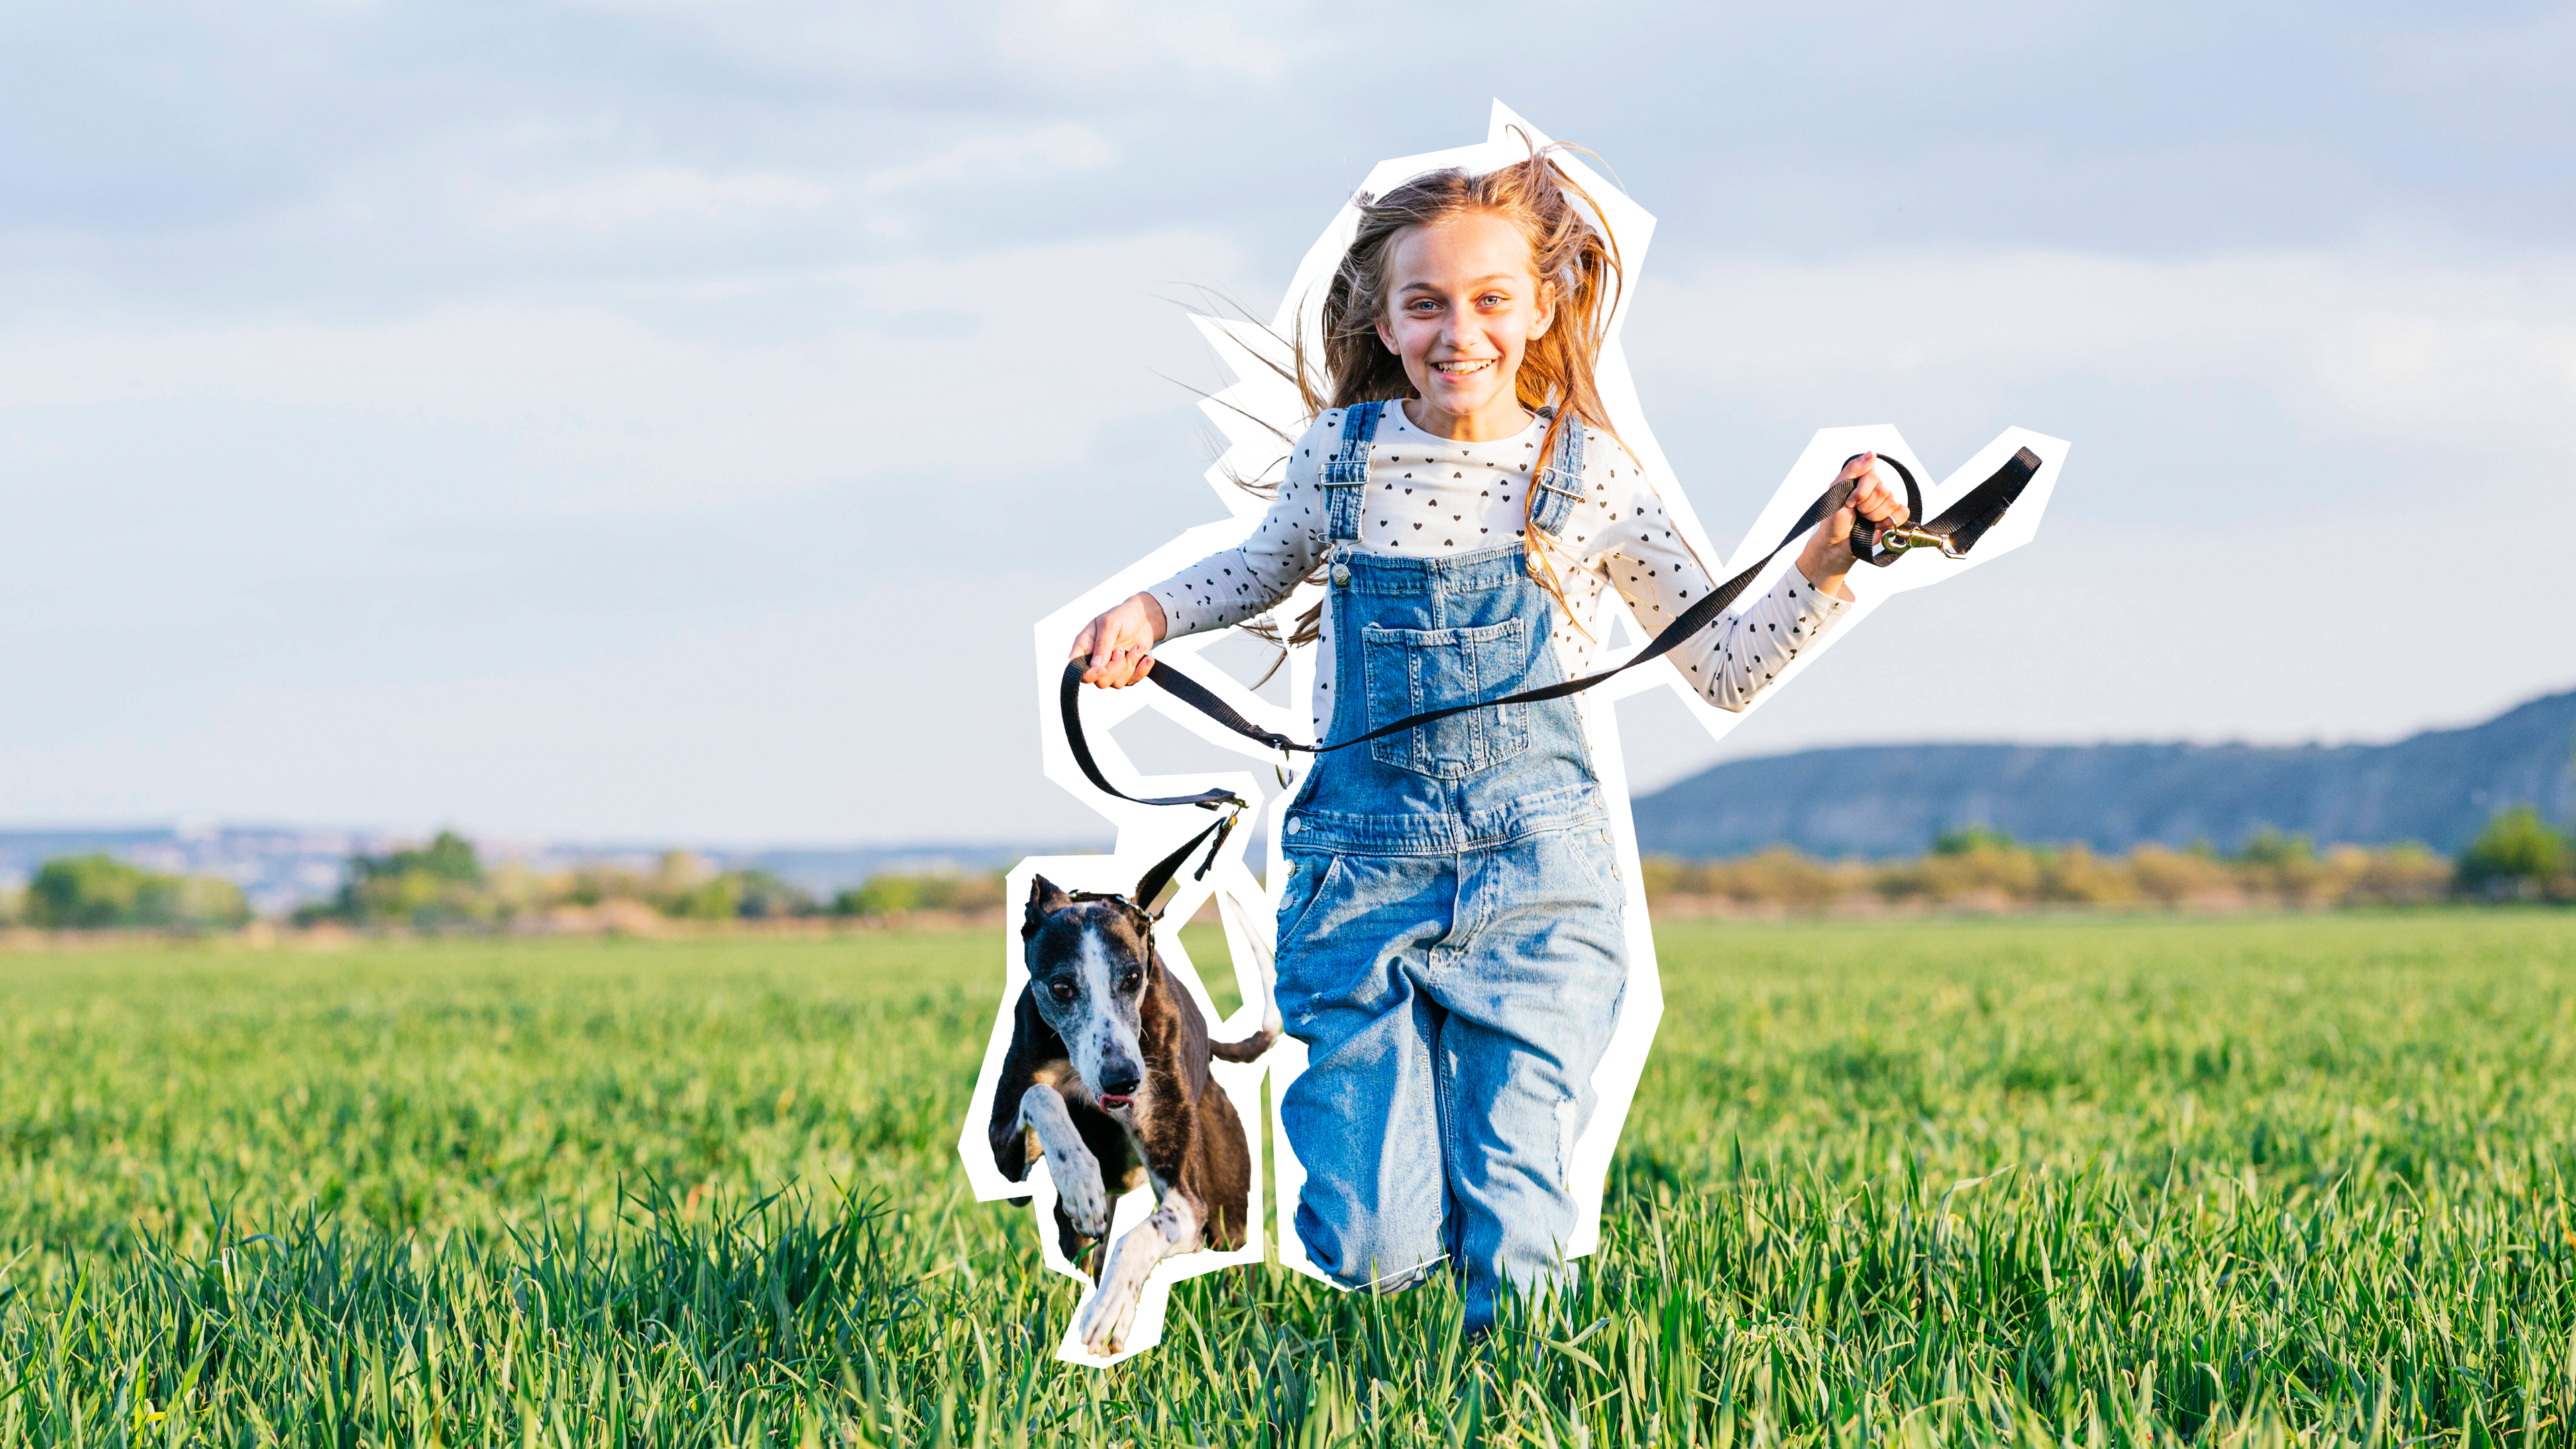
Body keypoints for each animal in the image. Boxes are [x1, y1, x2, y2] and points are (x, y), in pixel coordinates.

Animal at [983, 866, 1277, 1350]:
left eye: (1133, 977)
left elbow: (1146, 1235)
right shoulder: (1005, 1161)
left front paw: (1110, 1308)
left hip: (1227, 1219)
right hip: (1077, 1231)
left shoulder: (1187, 1203)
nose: (1123, 1079)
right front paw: (1078, 1175)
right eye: (1062, 987)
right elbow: (1040, 1096)